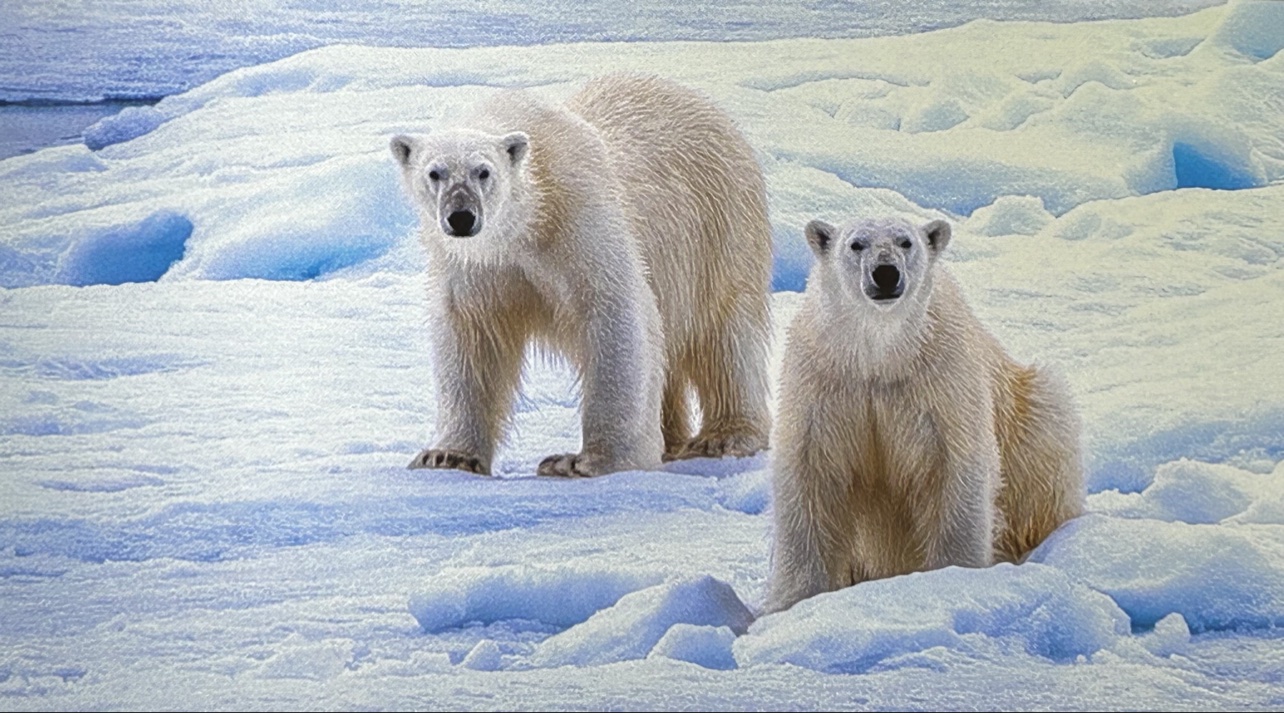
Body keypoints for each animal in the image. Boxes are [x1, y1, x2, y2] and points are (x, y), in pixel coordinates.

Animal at [390, 74, 773, 478]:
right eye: (435, 173)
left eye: (484, 171)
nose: (461, 217)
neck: (526, 225)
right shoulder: (476, 266)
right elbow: (471, 337)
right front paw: (446, 456)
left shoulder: (579, 223)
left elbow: (618, 315)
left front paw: (584, 461)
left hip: (719, 229)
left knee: (725, 334)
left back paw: (724, 436)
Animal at [763, 215, 1084, 614]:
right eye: (856, 244)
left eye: (906, 242)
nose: (886, 273)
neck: (881, 358)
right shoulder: (825, 387)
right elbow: (810, 477)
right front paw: (793, 602)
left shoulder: (942, 386)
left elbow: (954, 473)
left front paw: (950, 578)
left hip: (1028, 416)